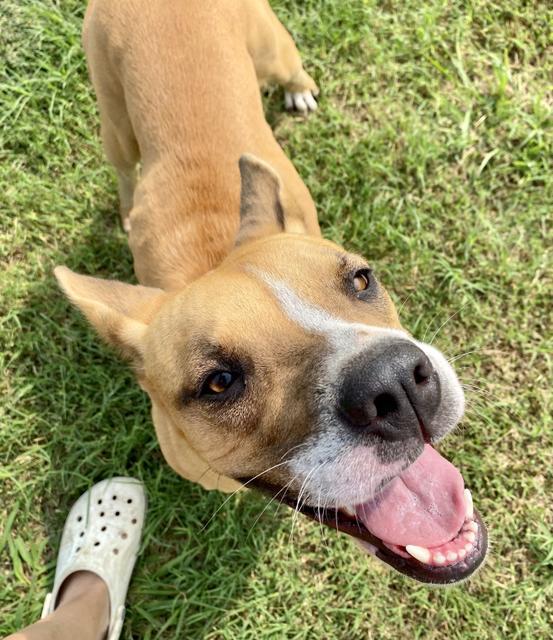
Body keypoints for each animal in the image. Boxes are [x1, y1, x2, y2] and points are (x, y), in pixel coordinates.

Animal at [55, 0, 488, 584]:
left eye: (361, 279)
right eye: (219, 382)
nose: (396, 382)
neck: (210, 255)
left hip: (271, 49)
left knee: (288, 69)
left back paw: (299, 90)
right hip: (114, 122)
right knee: (124, 166)